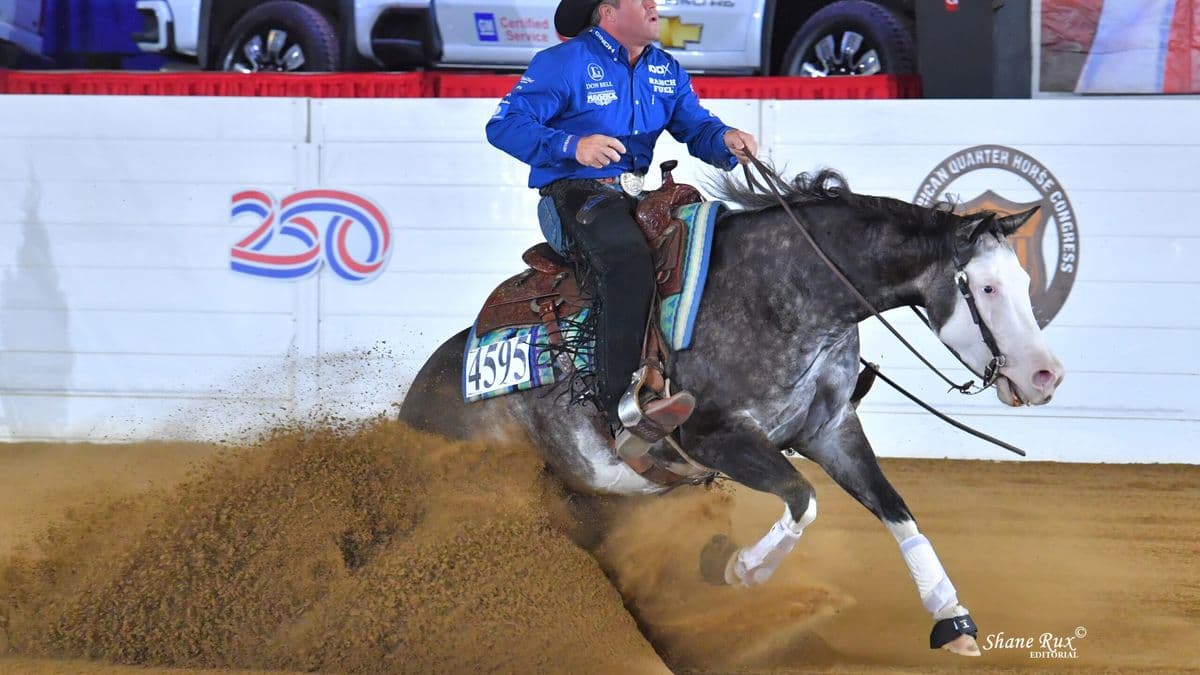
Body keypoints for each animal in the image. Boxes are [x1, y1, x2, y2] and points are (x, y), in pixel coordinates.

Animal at [398, 169, 1064, 657]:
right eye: (985, 288)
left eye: (1023, 280)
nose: (1045, 376)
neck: (782, 294)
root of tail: (417, 400)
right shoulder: (715, 436)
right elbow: (803, 499)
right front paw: (737, 568)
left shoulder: (831, 431)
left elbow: (898, 512)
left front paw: (952, 618)